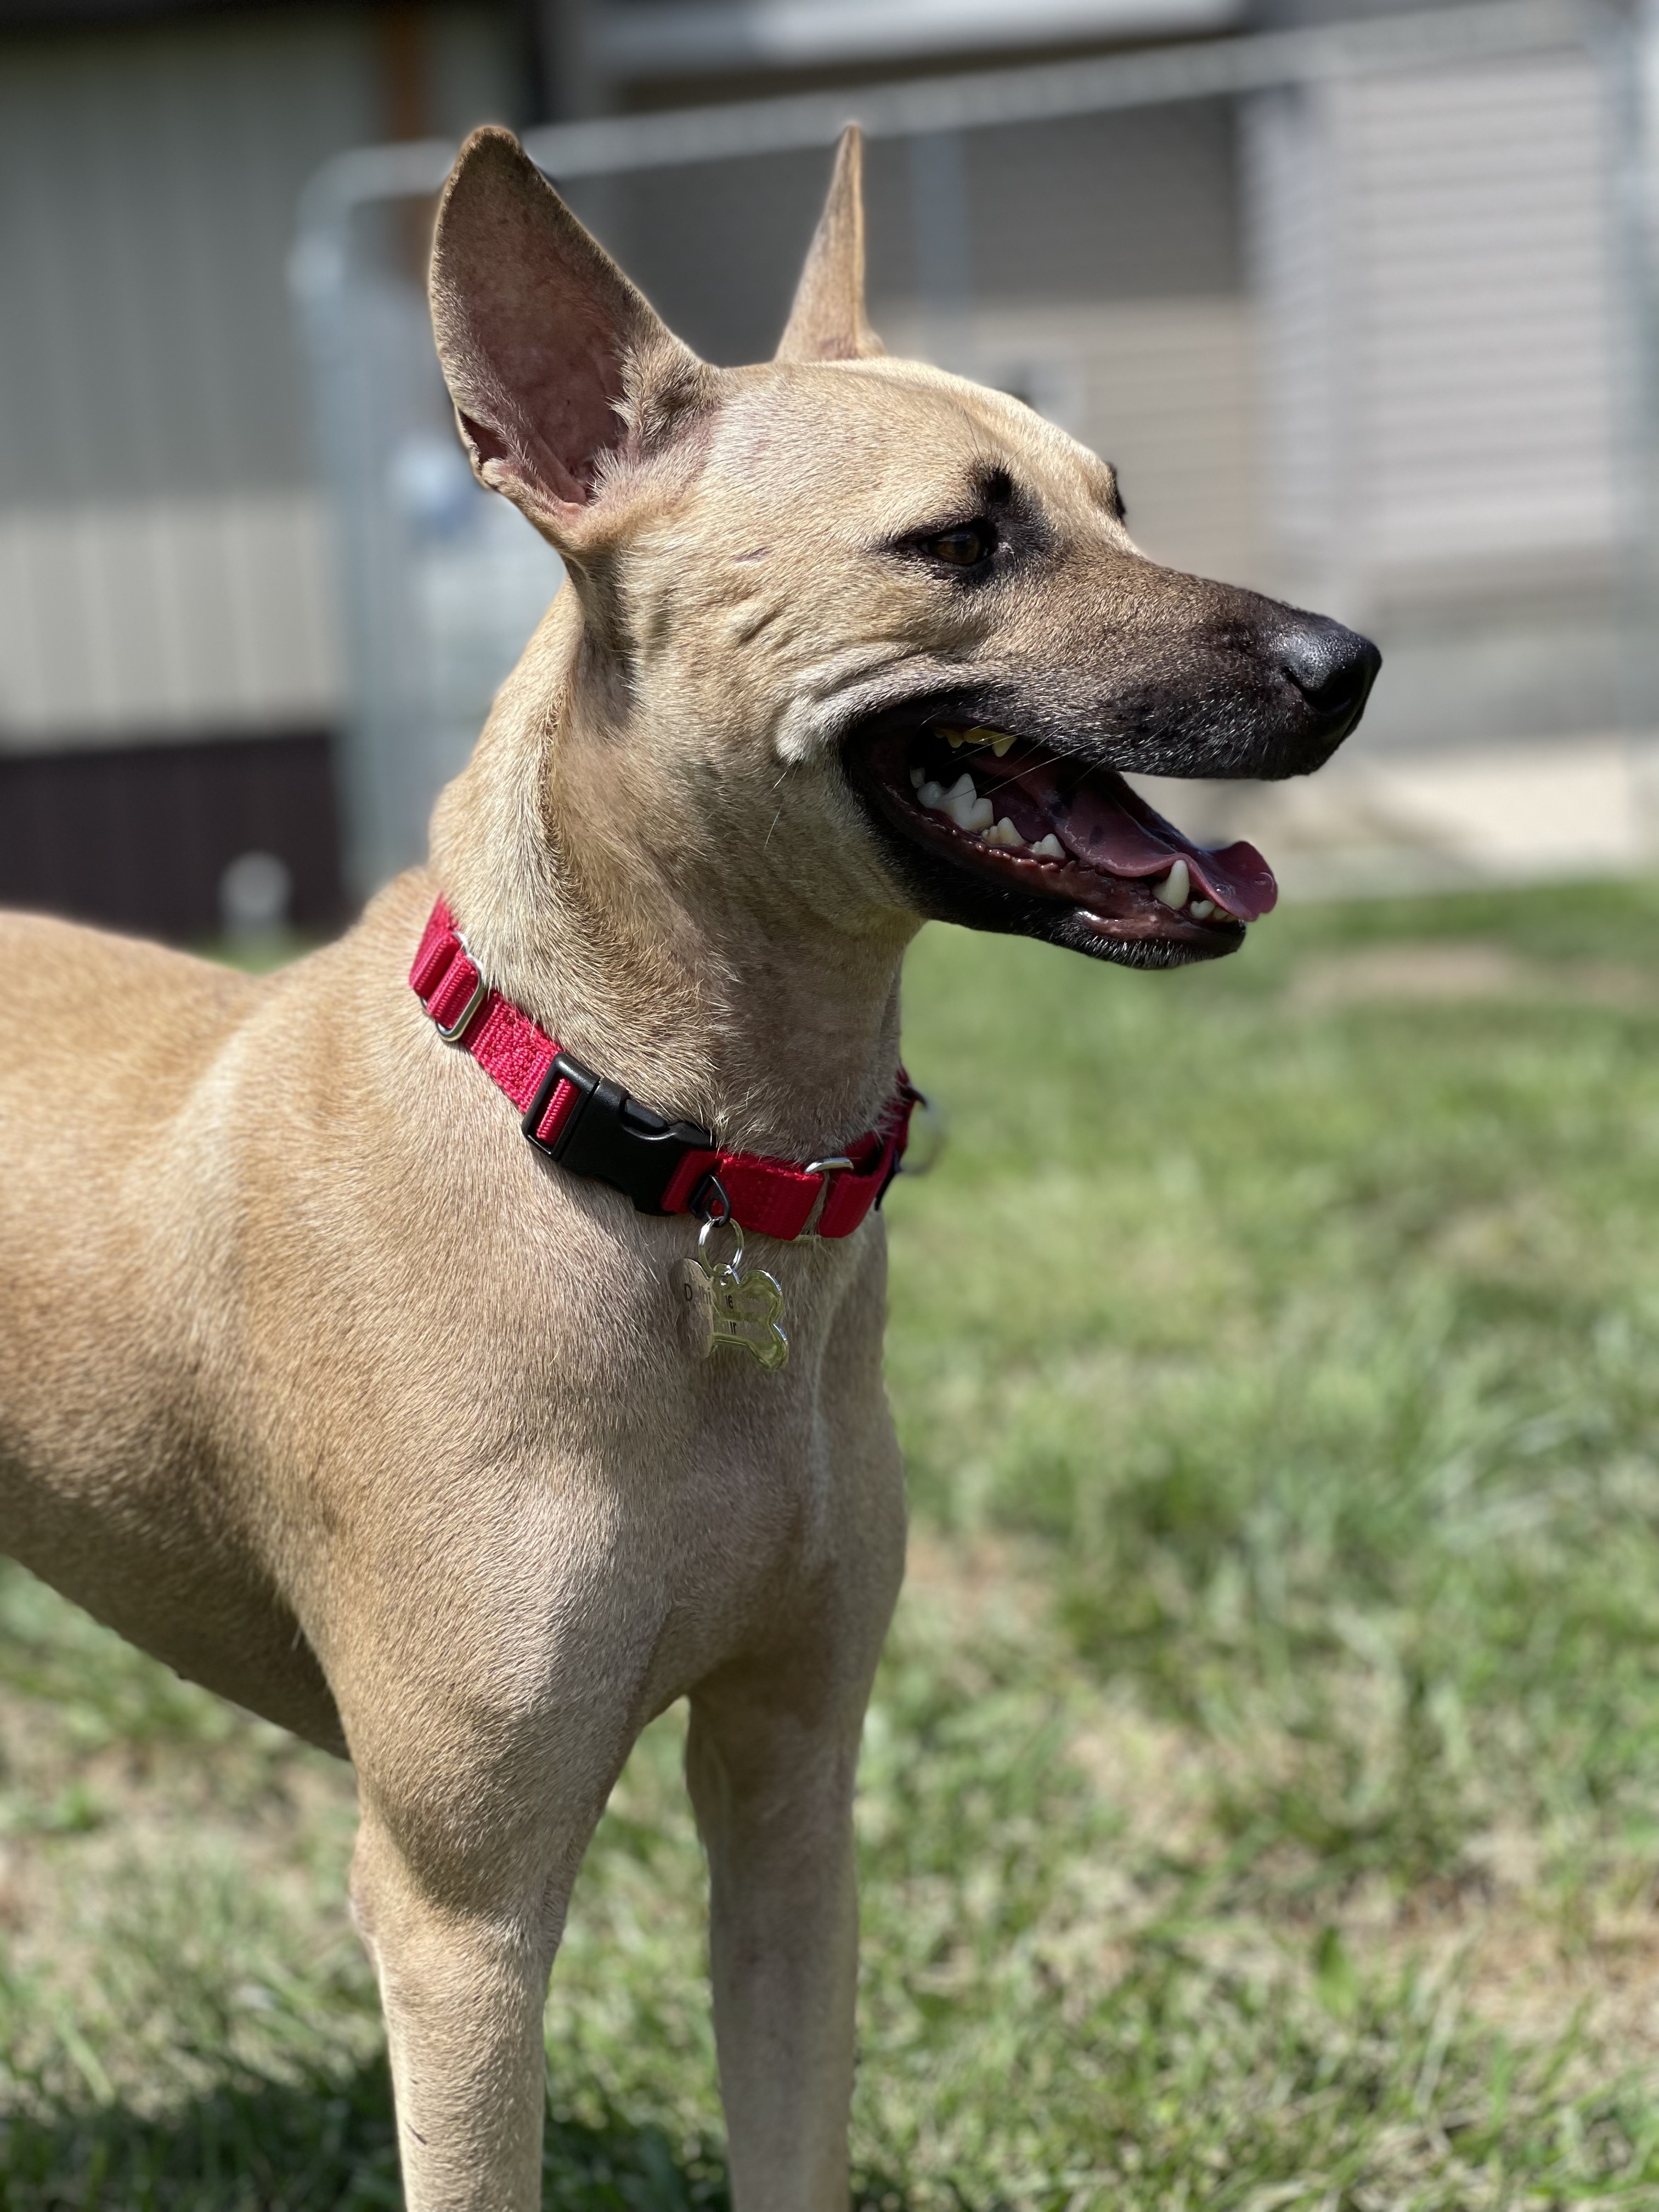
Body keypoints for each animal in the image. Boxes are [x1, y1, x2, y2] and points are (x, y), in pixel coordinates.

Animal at [0, 125, 1380, 2212]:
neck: (674, 1155)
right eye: (960, 542)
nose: (1348, 660)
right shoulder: (463, 1915)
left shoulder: (794, 1798)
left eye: (1117, 503)